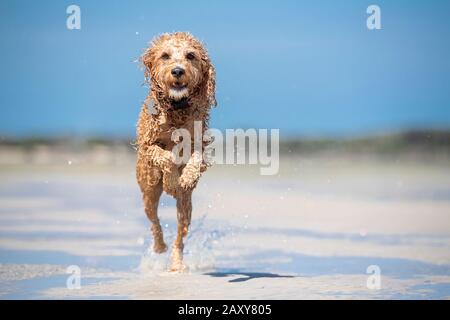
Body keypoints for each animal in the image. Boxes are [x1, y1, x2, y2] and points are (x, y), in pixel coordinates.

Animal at [135, 32, 216, 272]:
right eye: (165, 56)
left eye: (190, 56)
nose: (178, 71)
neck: (176, 107)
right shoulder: (147, 146)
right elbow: (166, 156)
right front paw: (171, 180)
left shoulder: (199, 144)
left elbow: (196, 159)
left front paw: (186, 177)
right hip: (149, 191)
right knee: (154, 221)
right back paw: (159, 246)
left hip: (186, 206)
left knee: (180, 237)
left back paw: (177, 264)